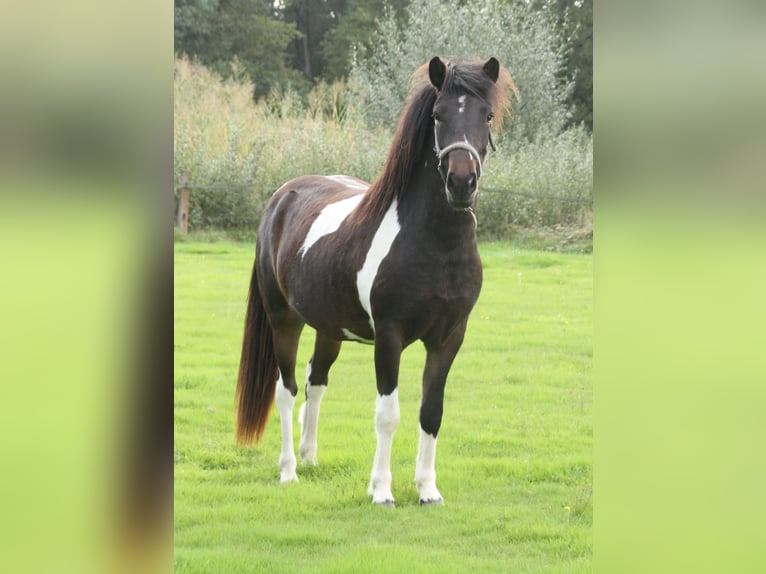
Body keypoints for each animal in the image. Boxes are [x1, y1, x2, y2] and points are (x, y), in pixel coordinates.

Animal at [236, 56, 515, 506]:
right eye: (438, 116)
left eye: (486, 115)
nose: (461, 182)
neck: (436, 244)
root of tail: (281, 197)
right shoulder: (389, 336)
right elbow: (388, 415)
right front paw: (382, 490)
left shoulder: (450, 337)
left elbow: (431, 412)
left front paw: (428, 489)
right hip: (283, 320)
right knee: (288, 388)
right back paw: (289, 471)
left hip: (328, 327)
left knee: (316, 381)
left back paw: (310, 458)